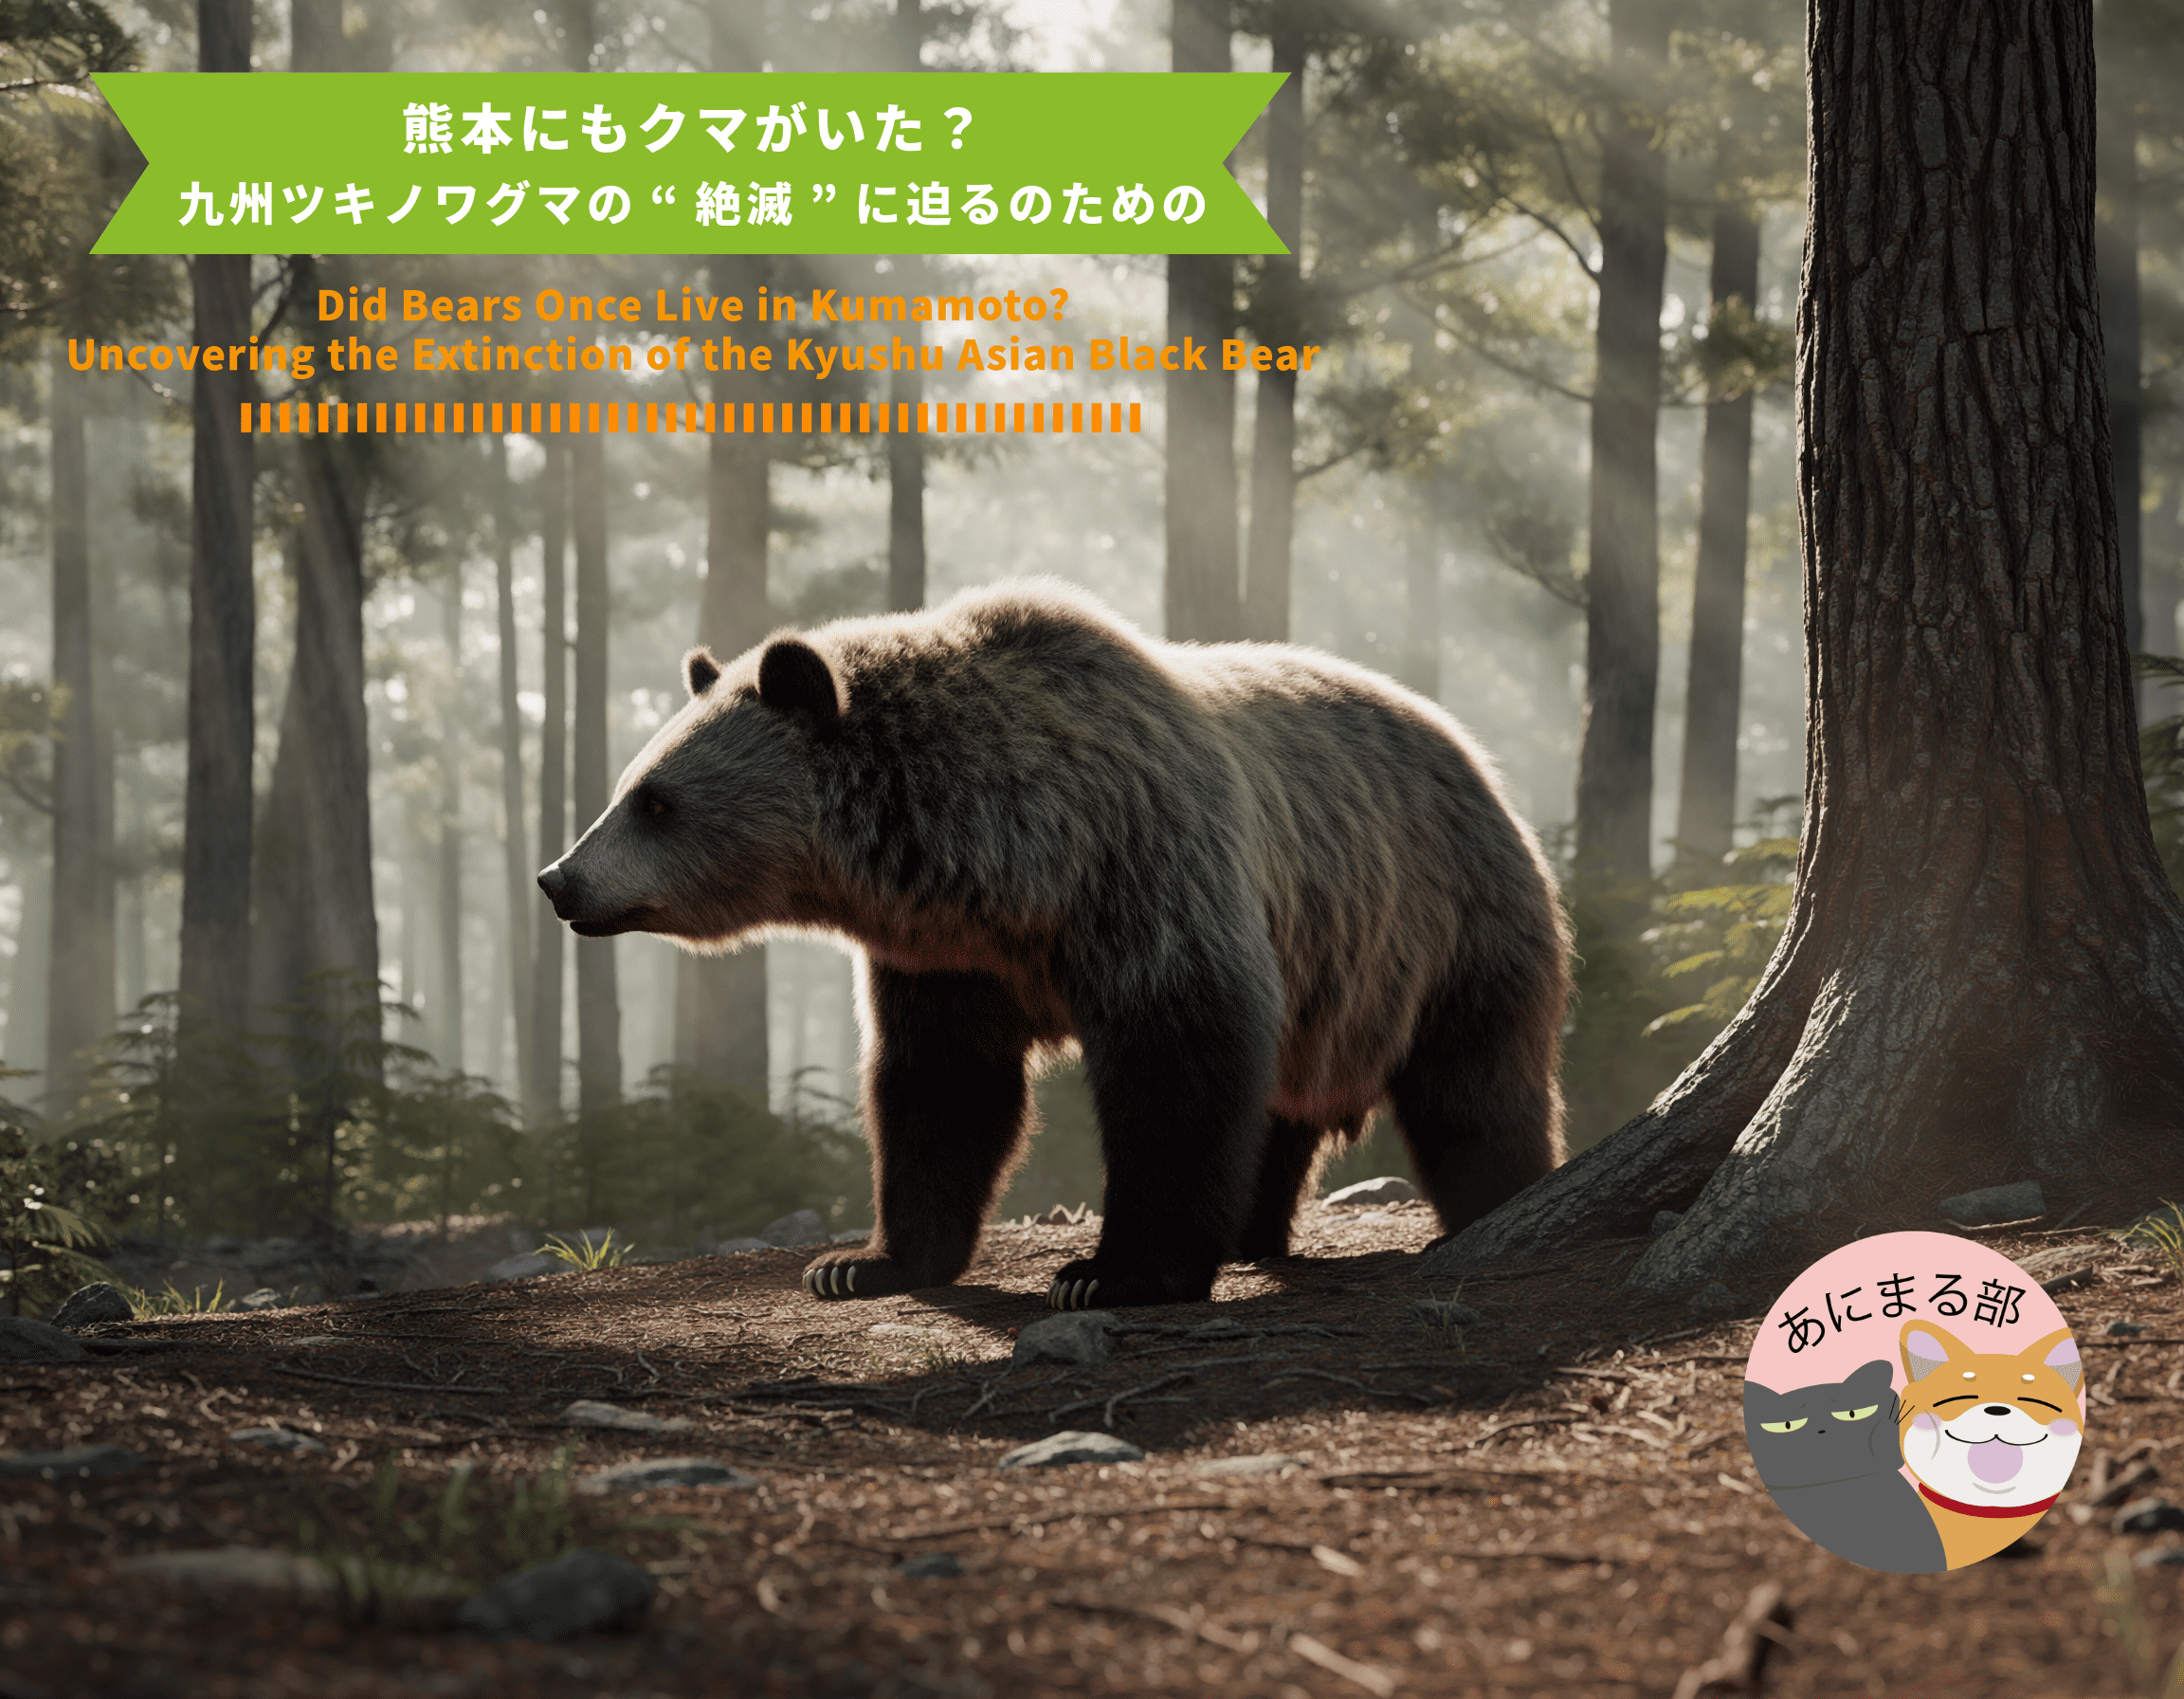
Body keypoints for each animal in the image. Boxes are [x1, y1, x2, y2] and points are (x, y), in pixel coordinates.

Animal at [538, 578, 1569, 1309]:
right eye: (630, 784)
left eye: (656, 801)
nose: (558, 879)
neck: (1005, 865)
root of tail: (1468, 747)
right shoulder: (950, 963)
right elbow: (942, 1091)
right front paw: (863, 1261)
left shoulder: (1144, 871)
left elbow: (1178, 1061)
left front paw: (1112, 1272)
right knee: (1284, 1105)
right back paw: (1250, 1227)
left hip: (1446, 922)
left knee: (1474, 1084)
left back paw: (1489, 1205)